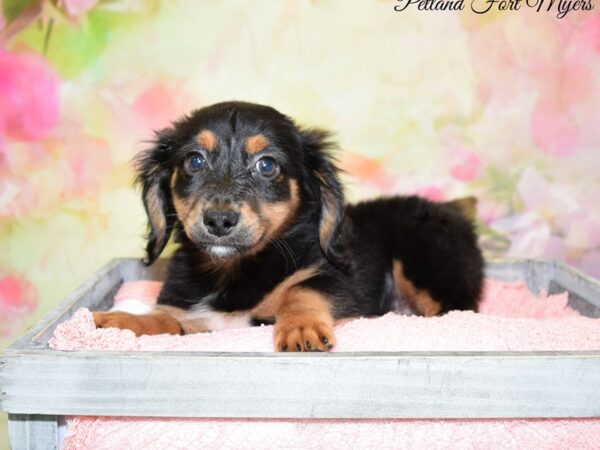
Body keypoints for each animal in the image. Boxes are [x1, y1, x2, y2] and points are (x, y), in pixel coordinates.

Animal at [95, 102, 488, 352]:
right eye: (194, 161)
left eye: (267, 166)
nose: (219, 220)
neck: (233, 272)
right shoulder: (194, 320)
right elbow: (165, 320)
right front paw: (117, 320)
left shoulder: (335, 280)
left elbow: (302, 290)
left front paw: (301, 328)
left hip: (425, 264)